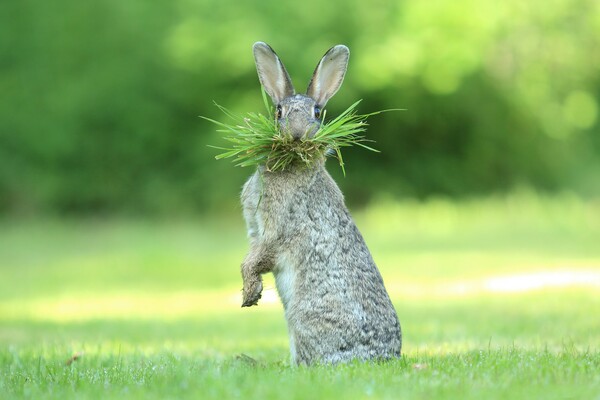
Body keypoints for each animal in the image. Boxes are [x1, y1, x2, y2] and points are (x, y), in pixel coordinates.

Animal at [240, 41, 404, 366]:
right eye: (279, 111)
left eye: (317, 112)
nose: (297, 134)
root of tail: (382, 357)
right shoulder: (255, 231)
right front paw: (250, 293)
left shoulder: (276, 231)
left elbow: (258, 258)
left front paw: (250, 293)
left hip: (302, 316)